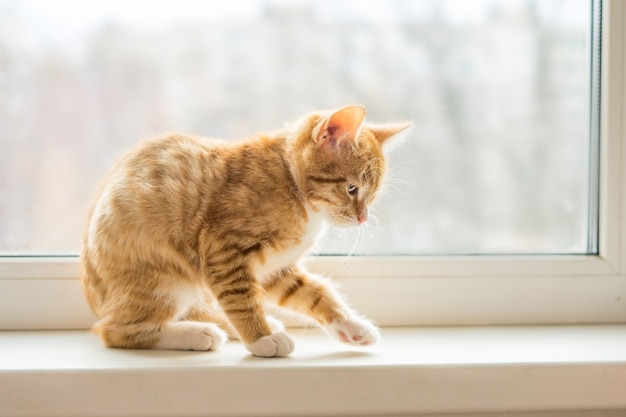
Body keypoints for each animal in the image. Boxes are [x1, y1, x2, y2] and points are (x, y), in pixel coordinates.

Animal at [79, 105, 410, 356]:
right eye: (352, 189)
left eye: (373, 194)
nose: (363, 218)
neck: (292, 185)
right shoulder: (223, 250)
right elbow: (240, 298)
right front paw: (261, 339)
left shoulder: (274, 268)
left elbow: (314, 293)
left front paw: (351, 326)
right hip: (165, 282)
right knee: (114, 331)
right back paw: (198, 333)